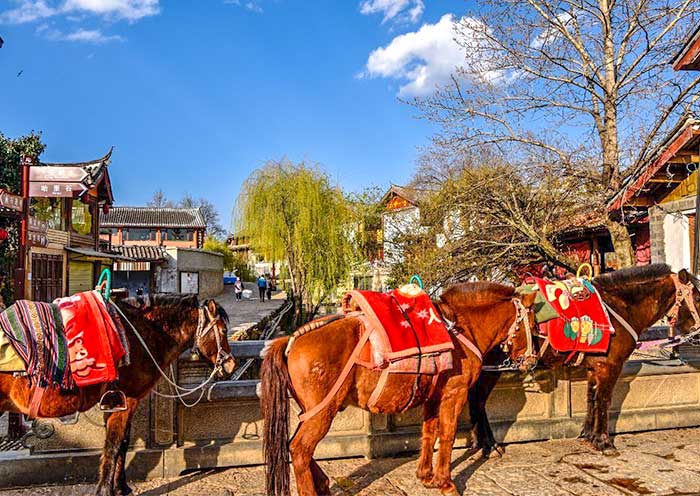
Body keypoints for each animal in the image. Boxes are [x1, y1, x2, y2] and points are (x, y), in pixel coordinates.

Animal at [0, 294, 237, 496]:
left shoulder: (120, 403)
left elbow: (123, 444)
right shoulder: (125, 400)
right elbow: (114, 447)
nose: (231, 364)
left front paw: (121, 486)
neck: (143, 335)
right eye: (224, 330)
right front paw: (106, 490)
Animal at [260, 282, 540, 496]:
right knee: (300, 449)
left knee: (297, 446)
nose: (533, 359)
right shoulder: (454, 394)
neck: (463, 328)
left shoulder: (432, 396)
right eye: (535, 325)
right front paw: (446, 482)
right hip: (323, 410)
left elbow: (429, 432)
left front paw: (426, 475)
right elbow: (447, 435)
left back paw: (323, 484)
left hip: (311, 410)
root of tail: (291, 340)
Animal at [468, 264, 700, 458]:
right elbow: (604, 400)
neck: (619, 307)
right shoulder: (611, 366)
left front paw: (589, 434)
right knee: (479, 401)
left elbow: (592, 398)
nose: (696, 334)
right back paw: (490, 445)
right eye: (698, 298)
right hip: (490, 370)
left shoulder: (594, 367)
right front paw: (604, 442)